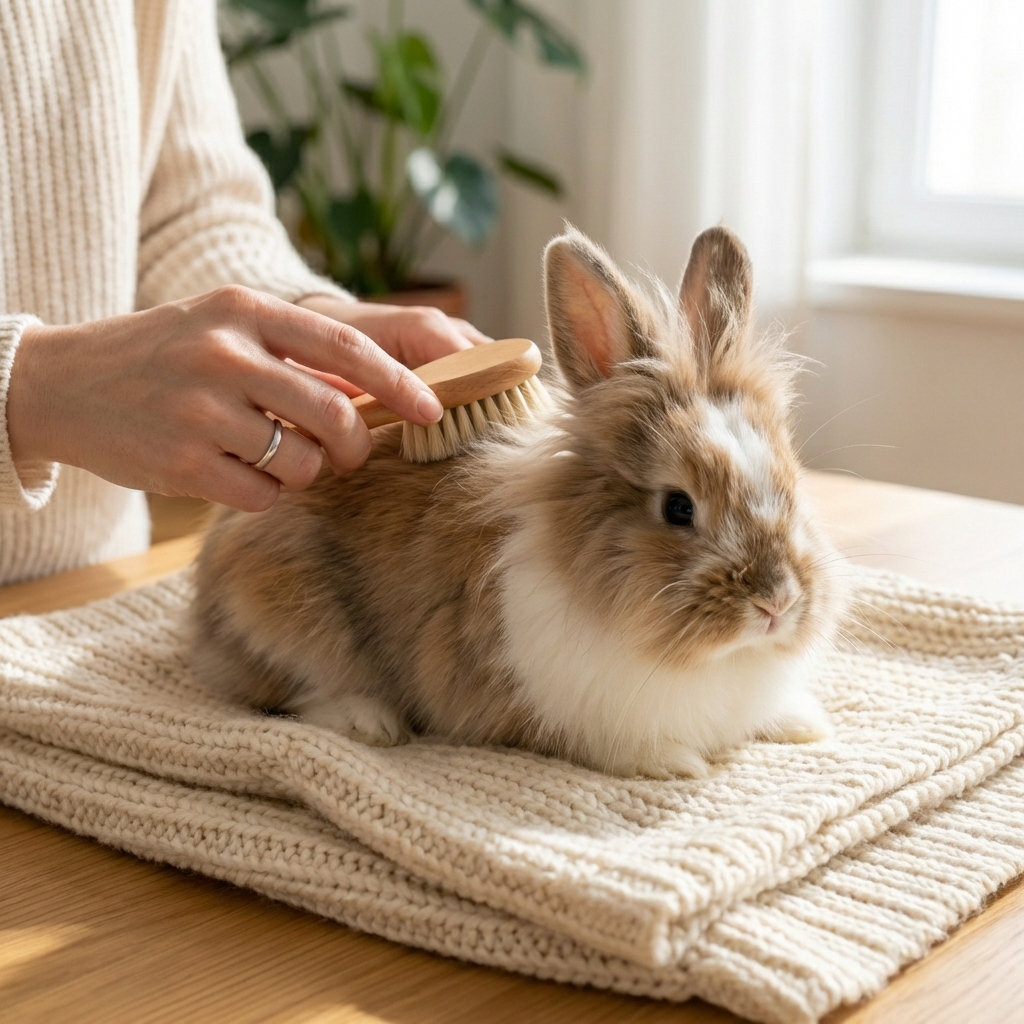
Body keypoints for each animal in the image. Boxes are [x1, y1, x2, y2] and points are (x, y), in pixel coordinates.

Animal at [189, 225, 847, 778]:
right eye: (678, 508)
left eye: (791, 486)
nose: (777, 603)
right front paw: (678, 763)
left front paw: (803, 724)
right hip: (287, 612)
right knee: (293, 691)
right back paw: (372, 721)